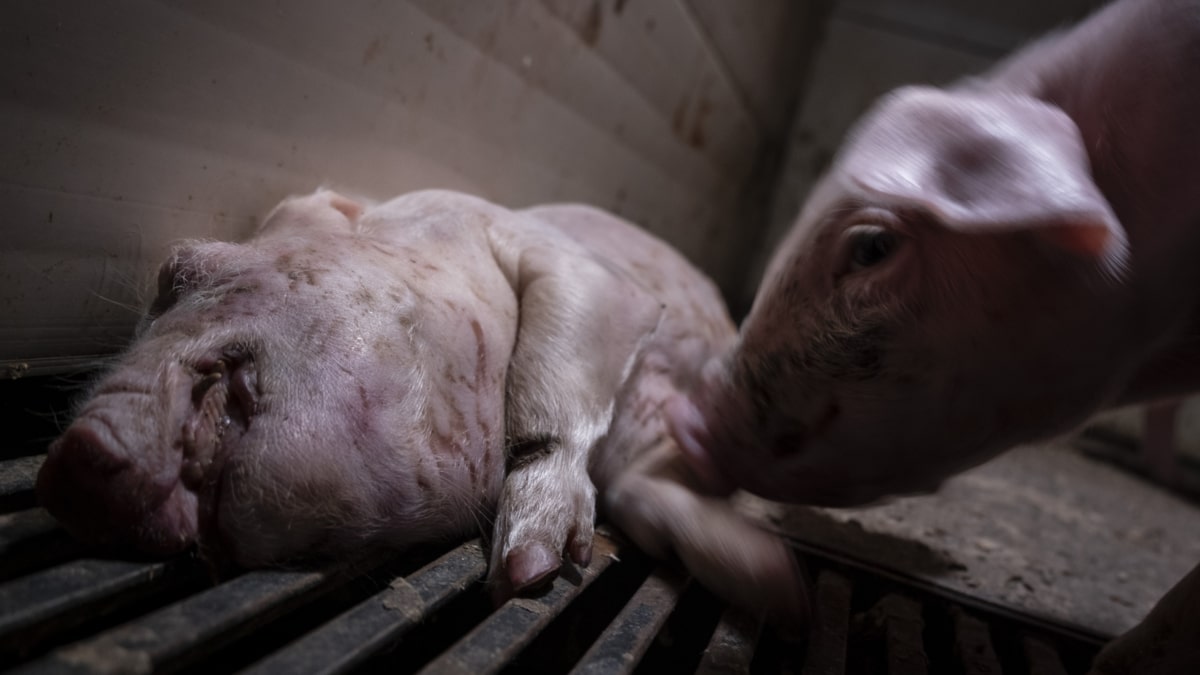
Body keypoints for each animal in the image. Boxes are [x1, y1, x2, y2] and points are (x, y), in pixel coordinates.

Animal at [35, 186, 806, 624]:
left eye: (186, 266)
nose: (73, 455)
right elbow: (639, 491)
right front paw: (772, 581)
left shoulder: (588, 276)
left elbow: (552, 365)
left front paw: (529, 570)